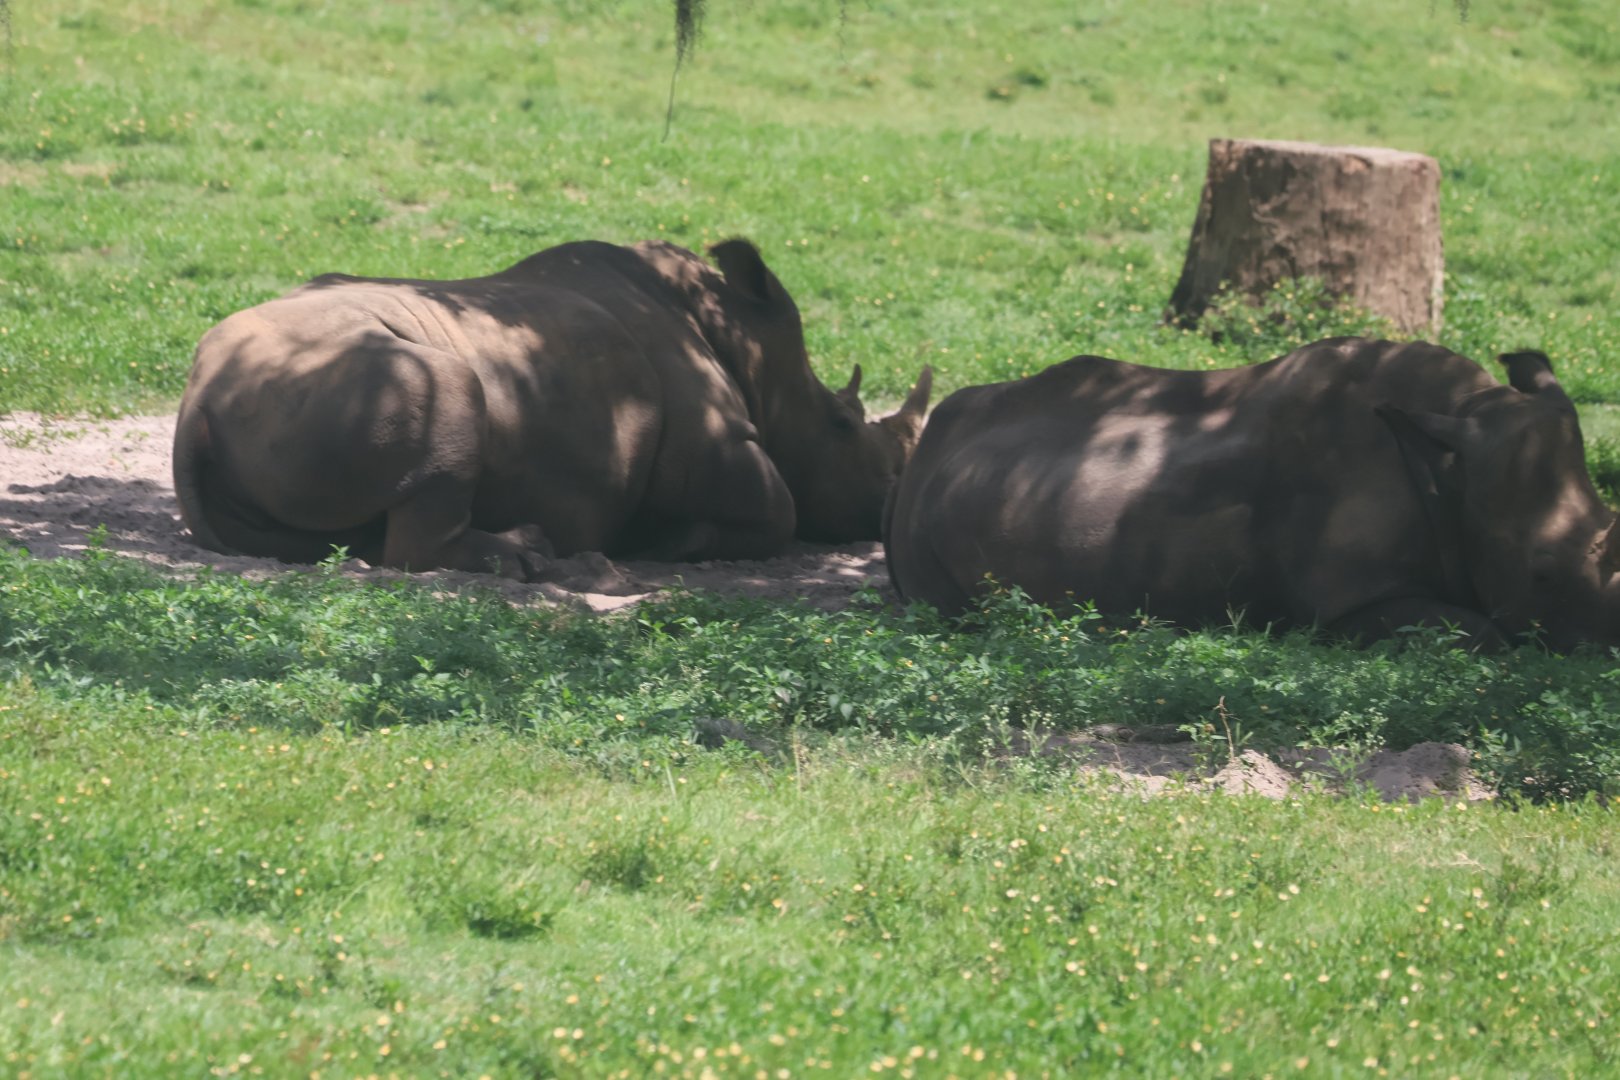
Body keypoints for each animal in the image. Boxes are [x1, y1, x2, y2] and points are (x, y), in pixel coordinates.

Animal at [173, 238, 932, 578]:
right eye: (843, 424)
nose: (889, 505)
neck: (748, 345)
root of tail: (198, 401)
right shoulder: (722, 447)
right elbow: (782, 513)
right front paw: (669, 545)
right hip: (356, 377)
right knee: (447, 397)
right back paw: (539, 557)